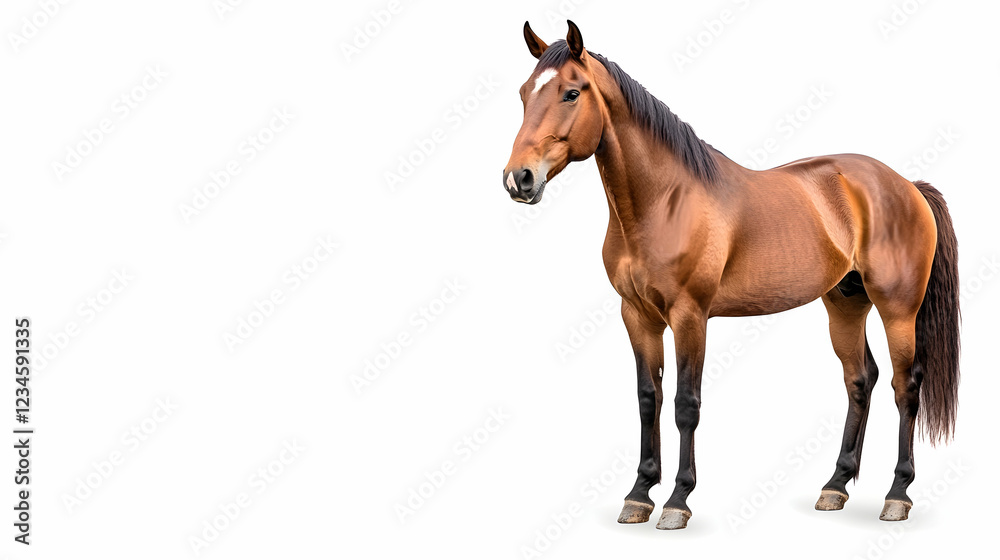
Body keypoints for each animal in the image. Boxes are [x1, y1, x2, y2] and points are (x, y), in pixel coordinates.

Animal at [502, 21, 960, 530]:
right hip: (845, 303)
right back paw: (835, 486)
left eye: (571, 92)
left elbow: (685, 404)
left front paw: (677, 500)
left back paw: (897, 494)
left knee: (906, 386)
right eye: (524, 93)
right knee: (861, 380)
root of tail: (906, 186)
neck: (663, 202)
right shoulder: (636, 316)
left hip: (897, 308)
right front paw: (639, 494)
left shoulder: (690, 316)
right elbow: (647, 398)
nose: (519, 179)